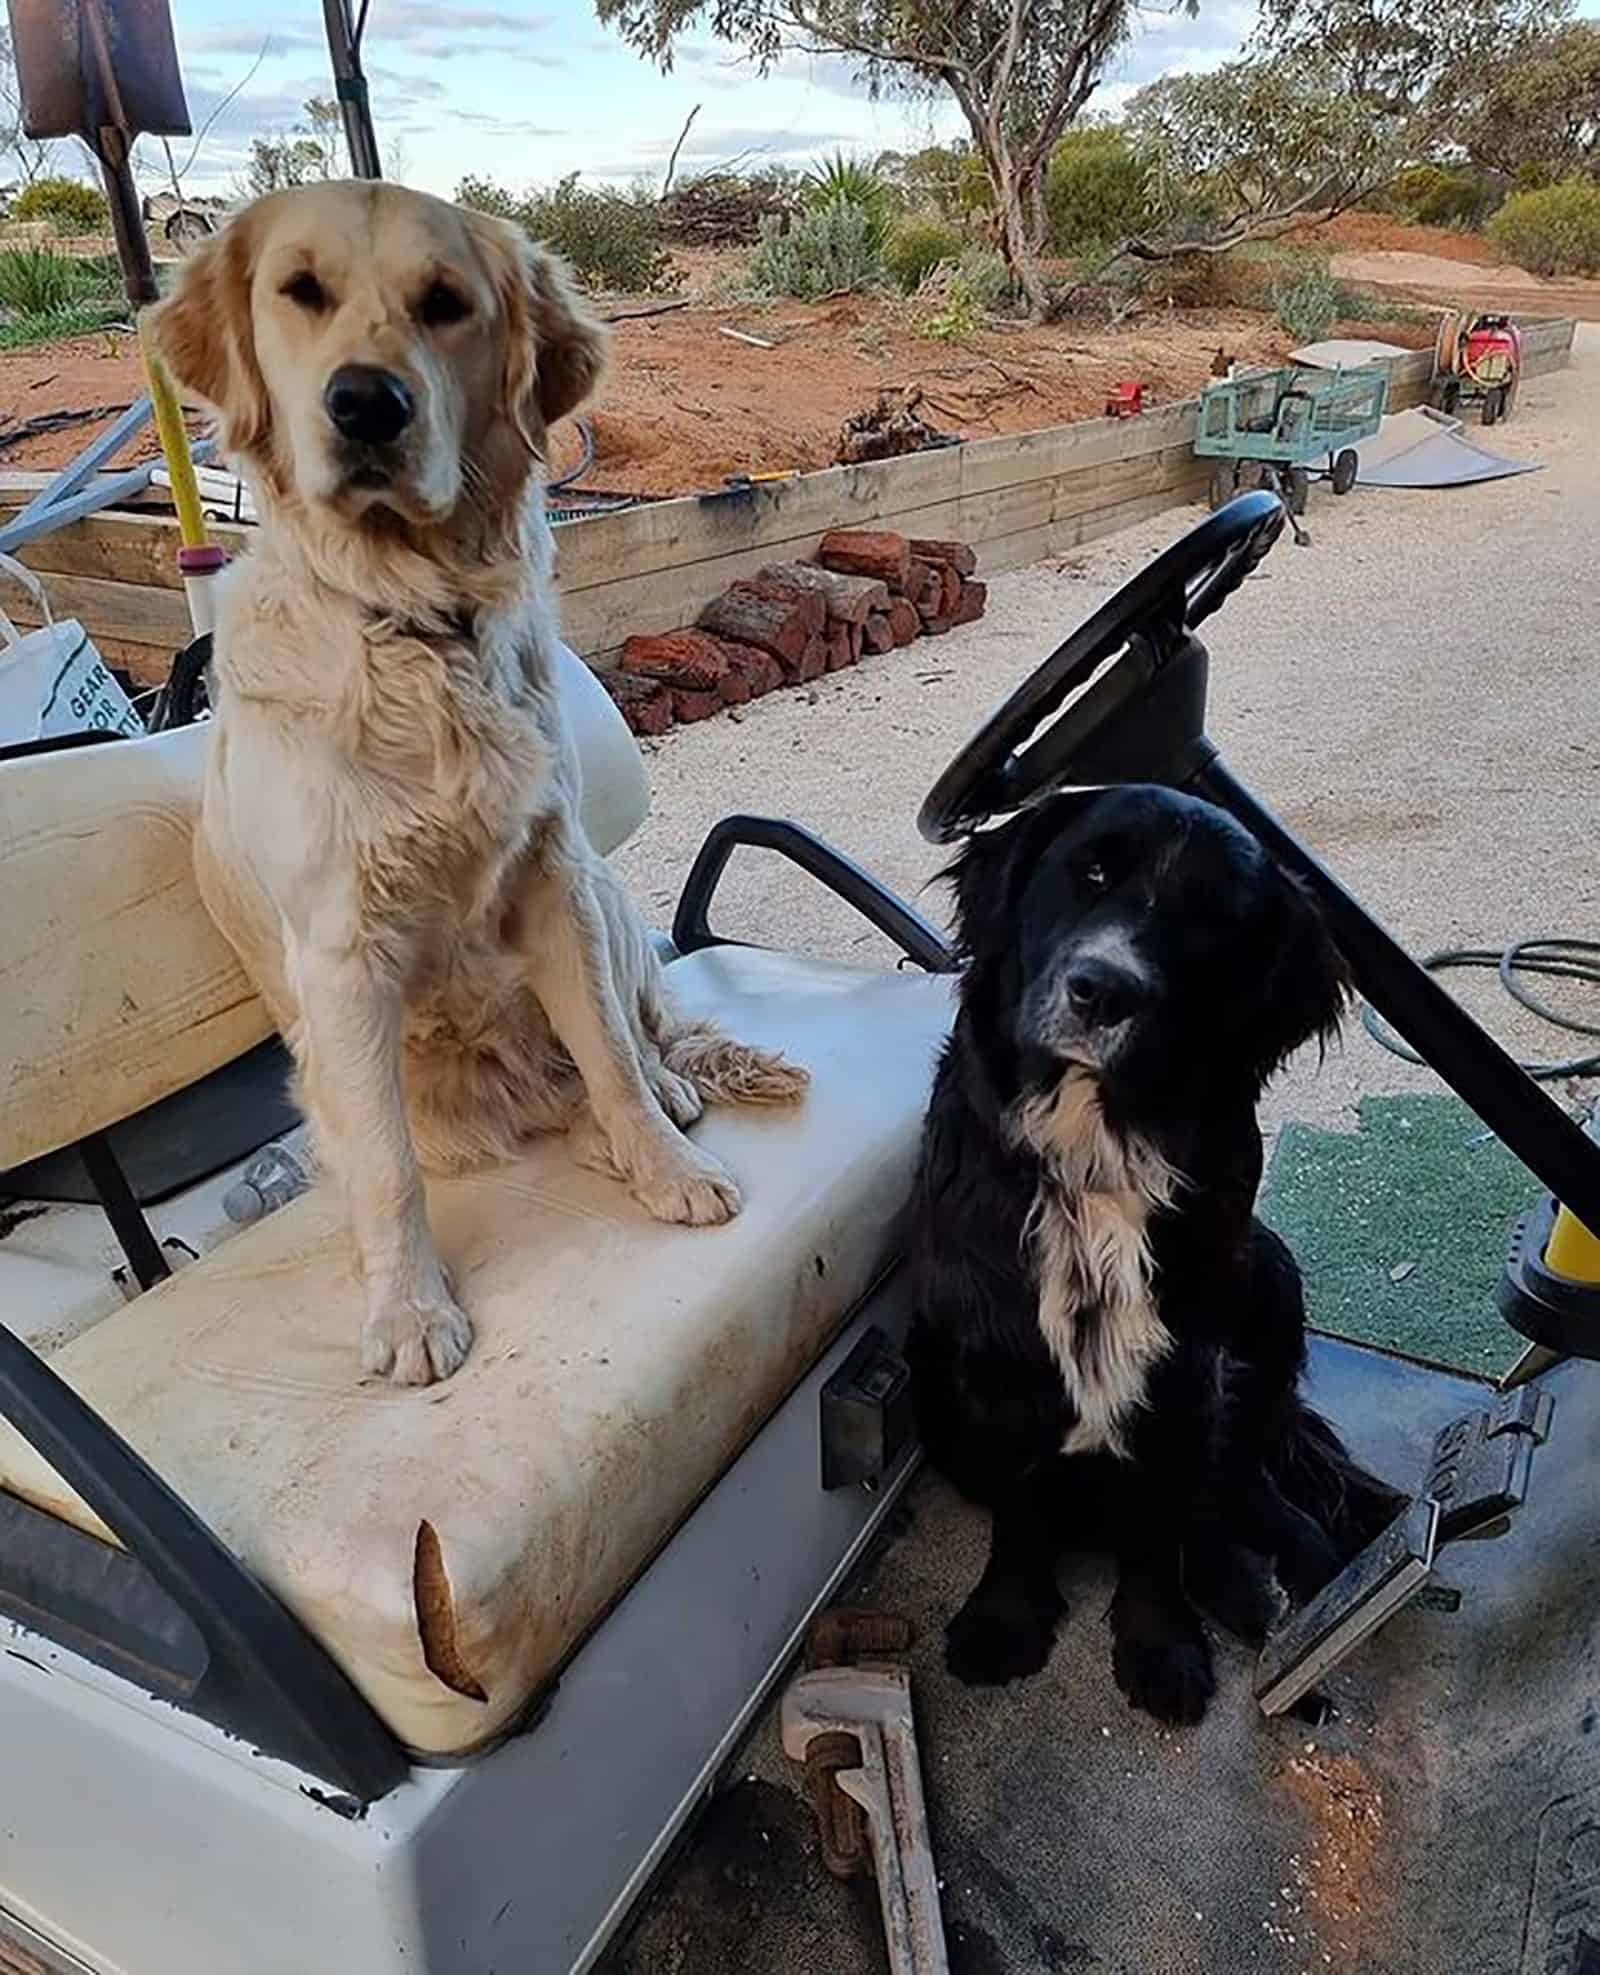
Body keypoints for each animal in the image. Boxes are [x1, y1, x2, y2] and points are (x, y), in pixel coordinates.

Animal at [908, 786, 1398, 1730]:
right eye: (1090, 872)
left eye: (1211, 918)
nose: (1103, 990)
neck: (1096, 1150)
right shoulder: (998, 1361)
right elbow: (1020, 1510)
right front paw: (1004, 1620)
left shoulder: (1183, 1370)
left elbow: (1155, 1530)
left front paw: (1162, 1646)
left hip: (1271, 1272)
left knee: (1253, 1494)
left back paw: (1289, 1592)